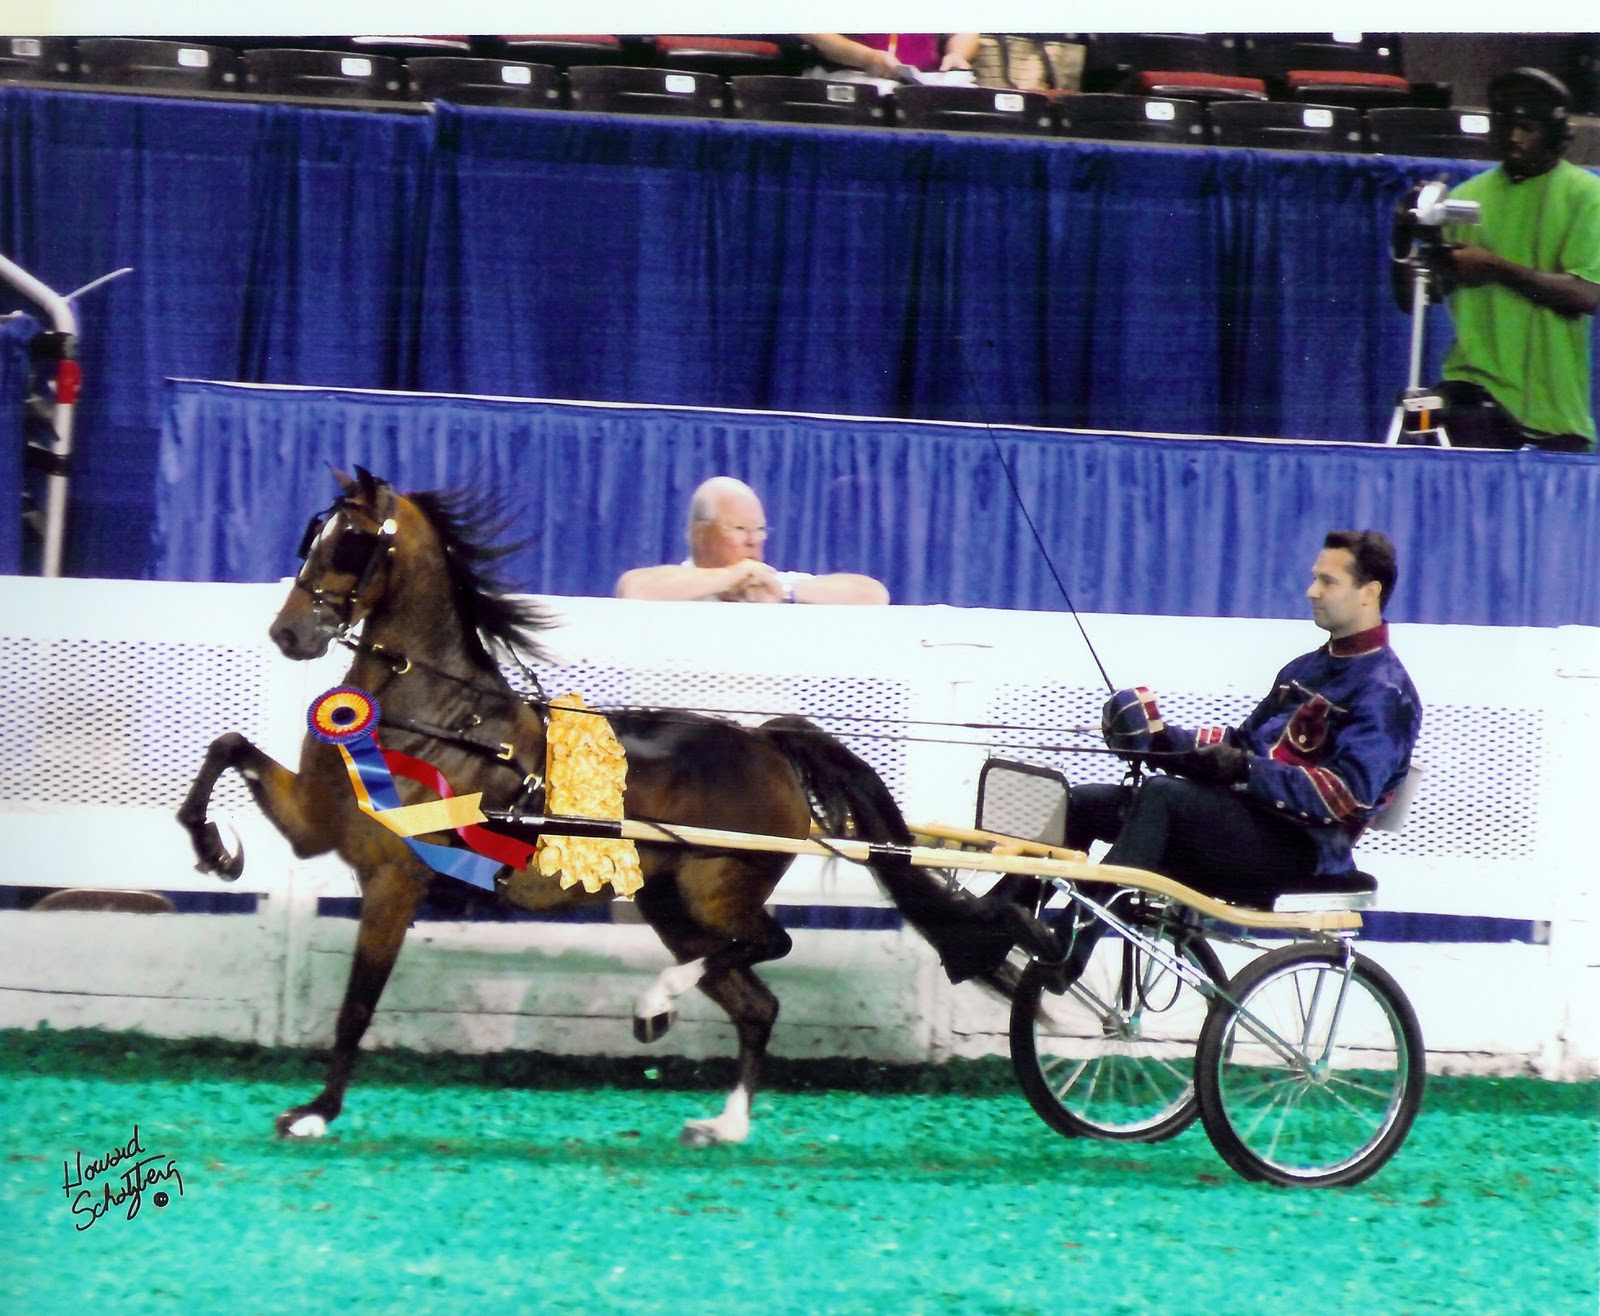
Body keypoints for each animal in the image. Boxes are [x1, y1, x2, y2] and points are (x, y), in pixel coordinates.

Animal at [177, 469, 1025, 1147]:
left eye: (352, 541)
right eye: (313, 535)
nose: (288, 632)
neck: (436, 717)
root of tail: (765, 744)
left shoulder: (394, 880)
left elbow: (356, 1004)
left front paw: (314, 1113)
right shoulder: (315, 827)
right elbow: (225, 745)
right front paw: (217, 849)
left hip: (716, 891)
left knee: (764, 945)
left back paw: (658, 1003)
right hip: (670, 903)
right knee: (756, 1001)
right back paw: (724, 1123)